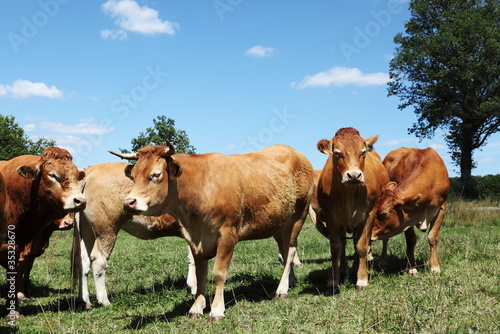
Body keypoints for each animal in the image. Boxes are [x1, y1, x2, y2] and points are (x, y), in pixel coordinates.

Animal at [0, 147, 86, 318]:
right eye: (52, 175)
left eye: (76, 175)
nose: (80, 201)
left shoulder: (20, 248)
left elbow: (18, 273)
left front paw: (15, 307)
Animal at [71, 162, 195, 310]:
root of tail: (93, 169)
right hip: (106, 229)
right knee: (98, 260)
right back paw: (104, 301)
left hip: (86, 230)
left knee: (83, 261)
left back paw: (84, 300)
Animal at [109, 142, 312, 320]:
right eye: (133, 176)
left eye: (155, 174)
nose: (128, 202)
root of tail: (295, 153)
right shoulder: (194, 238)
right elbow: (200, 275)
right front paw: (197, 308)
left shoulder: (227, 234)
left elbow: (218, 273)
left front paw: (216, 310)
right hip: (279, 224)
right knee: (285, 252)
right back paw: (290, 281)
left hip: (297, 217)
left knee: (290, 251)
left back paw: (281, 290)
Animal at [316, 127, 390, 292]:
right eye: (337, 153)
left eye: (362, 152)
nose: (354, 175)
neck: (349, 194)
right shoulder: (331, 216)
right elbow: (336, 247)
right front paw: (333, 279)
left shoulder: (369, 214)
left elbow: (361, 246)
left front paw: (362, 279)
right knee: (344, 243)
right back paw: (345, 268)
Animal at [372, 146, 450, 274]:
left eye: (384, 213)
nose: (369, 233)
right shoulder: (407, 217)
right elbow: (411, 241)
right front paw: (412, 267)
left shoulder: (441, 208)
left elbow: (433, 237)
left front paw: (434, 267)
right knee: (386, 239)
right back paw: (383, 260)